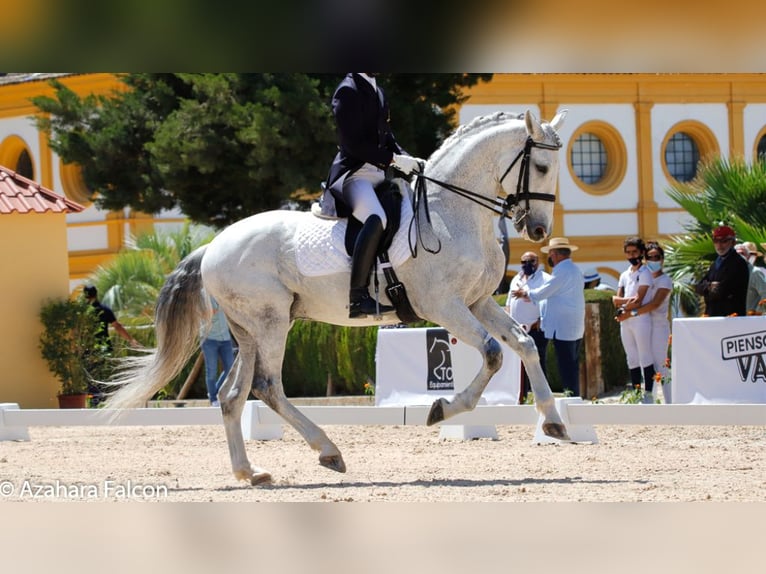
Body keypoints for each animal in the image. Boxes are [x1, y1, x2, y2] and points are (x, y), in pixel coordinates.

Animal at [106, 109, 568, 486]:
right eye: (541, 166)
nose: (538, 230)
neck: (449, 212)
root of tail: (213, 246)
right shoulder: (443, 306)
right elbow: (493, 354)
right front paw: (442, 408)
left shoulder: (477, 302)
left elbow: (524, 345)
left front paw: (554, 423)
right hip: (271, 323)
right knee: (267, 387)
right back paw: (328, 451)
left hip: (250, 330)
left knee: (232, 395)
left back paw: (251, 472)